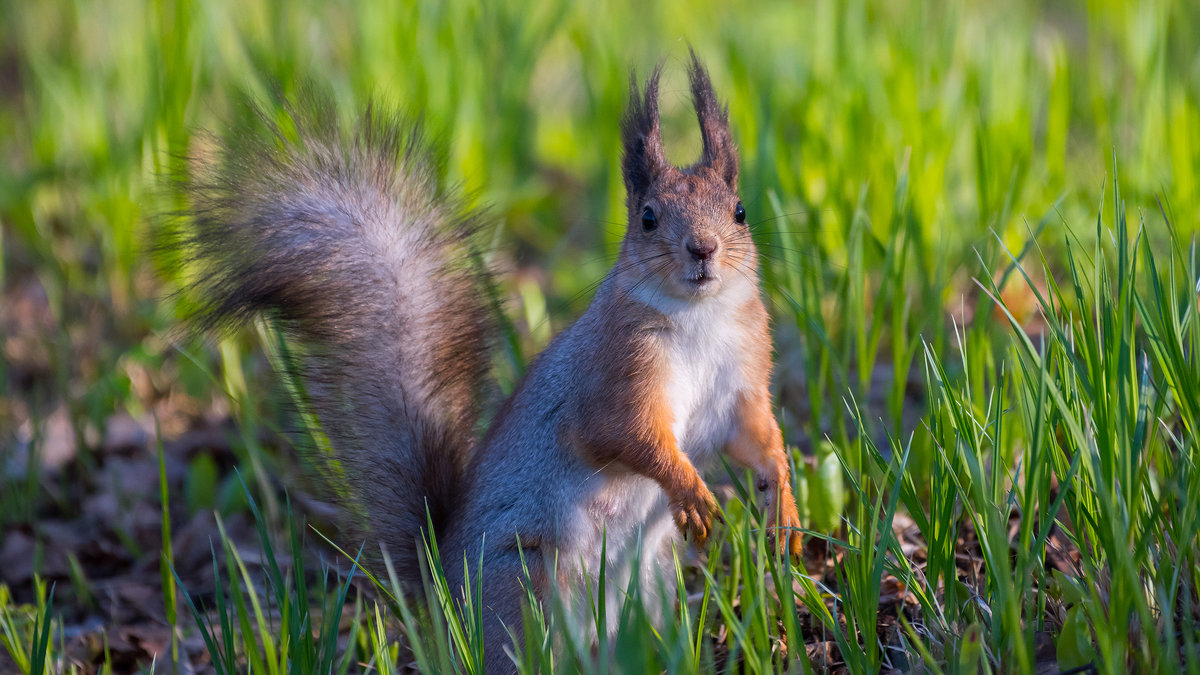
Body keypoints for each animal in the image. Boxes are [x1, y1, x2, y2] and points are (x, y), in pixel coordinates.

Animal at [174, 55, 801, 667]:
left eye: (740, 211)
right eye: (647, 218)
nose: (703, 249)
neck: (700, 317)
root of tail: (439, 610)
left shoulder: (741, 382)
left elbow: (756, 440)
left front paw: (785, 506)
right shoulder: (614, 375)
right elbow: (629, 436)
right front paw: (690, 490)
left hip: (646, 587)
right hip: (524, 585)